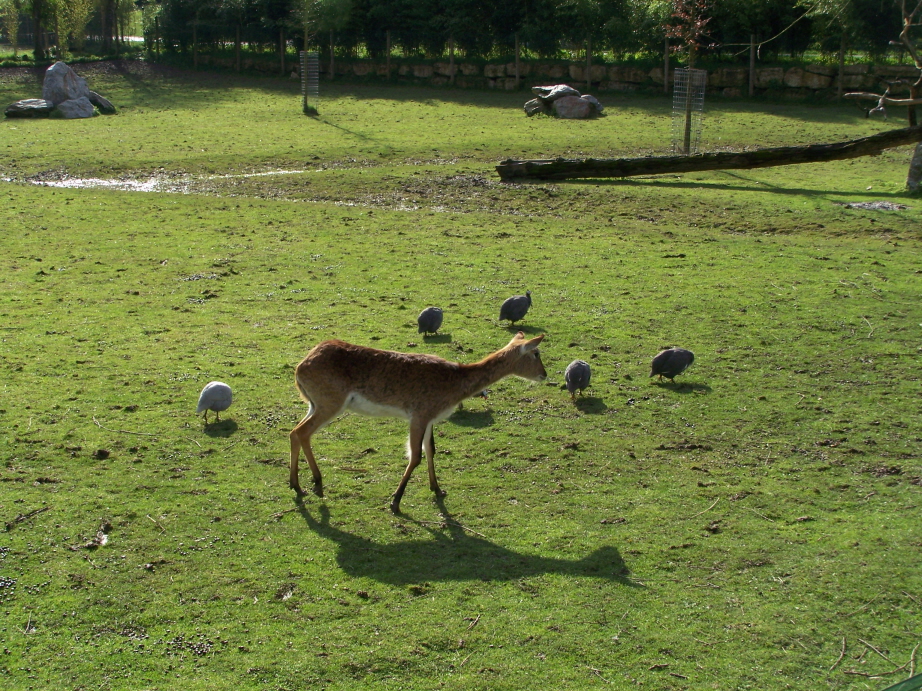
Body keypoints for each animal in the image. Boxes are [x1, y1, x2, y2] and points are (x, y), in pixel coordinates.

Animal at [290, 330, 548, 512]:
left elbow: (431, 449)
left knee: (294, 432)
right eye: (536, 353)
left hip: (314, 404)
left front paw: (437, 489)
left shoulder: (431, 419)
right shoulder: (418, 415)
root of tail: (300, 367)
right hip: (330, 404)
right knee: (303, 432)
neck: (455, 382)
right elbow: (415, 456)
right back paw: (315, 483)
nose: (544, 374)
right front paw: (395, 502)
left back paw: (297, 484)